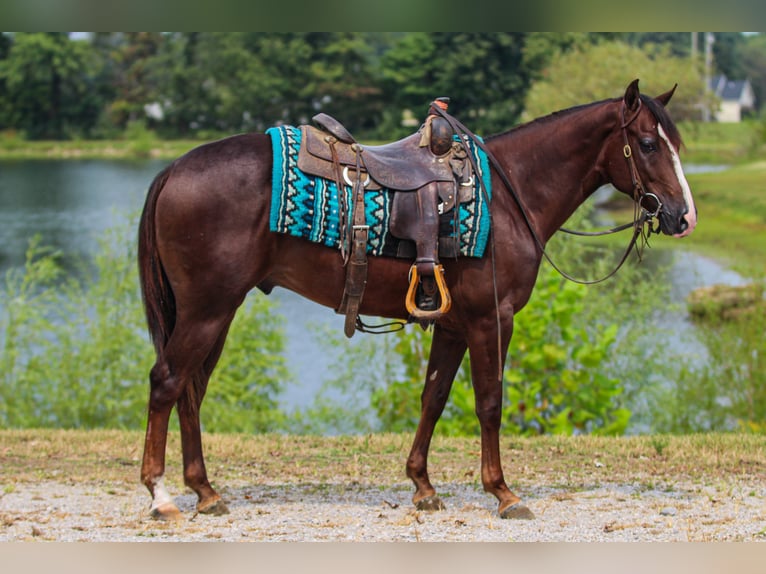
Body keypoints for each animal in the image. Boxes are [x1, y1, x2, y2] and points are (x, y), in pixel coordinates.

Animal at [137, 79, 697, 521]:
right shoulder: (493, 319)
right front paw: (503, 492)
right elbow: (490, 401)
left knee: (191, 390)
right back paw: (161, 496)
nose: (683, 216)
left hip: (215, 312)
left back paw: (205, 492)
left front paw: (423, 486)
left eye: (675, 143)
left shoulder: (452, 325)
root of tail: (173, 169)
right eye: (648, 144)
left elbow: (433, 398)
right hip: (207, 311)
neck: (508, 196)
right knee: (167, 381)